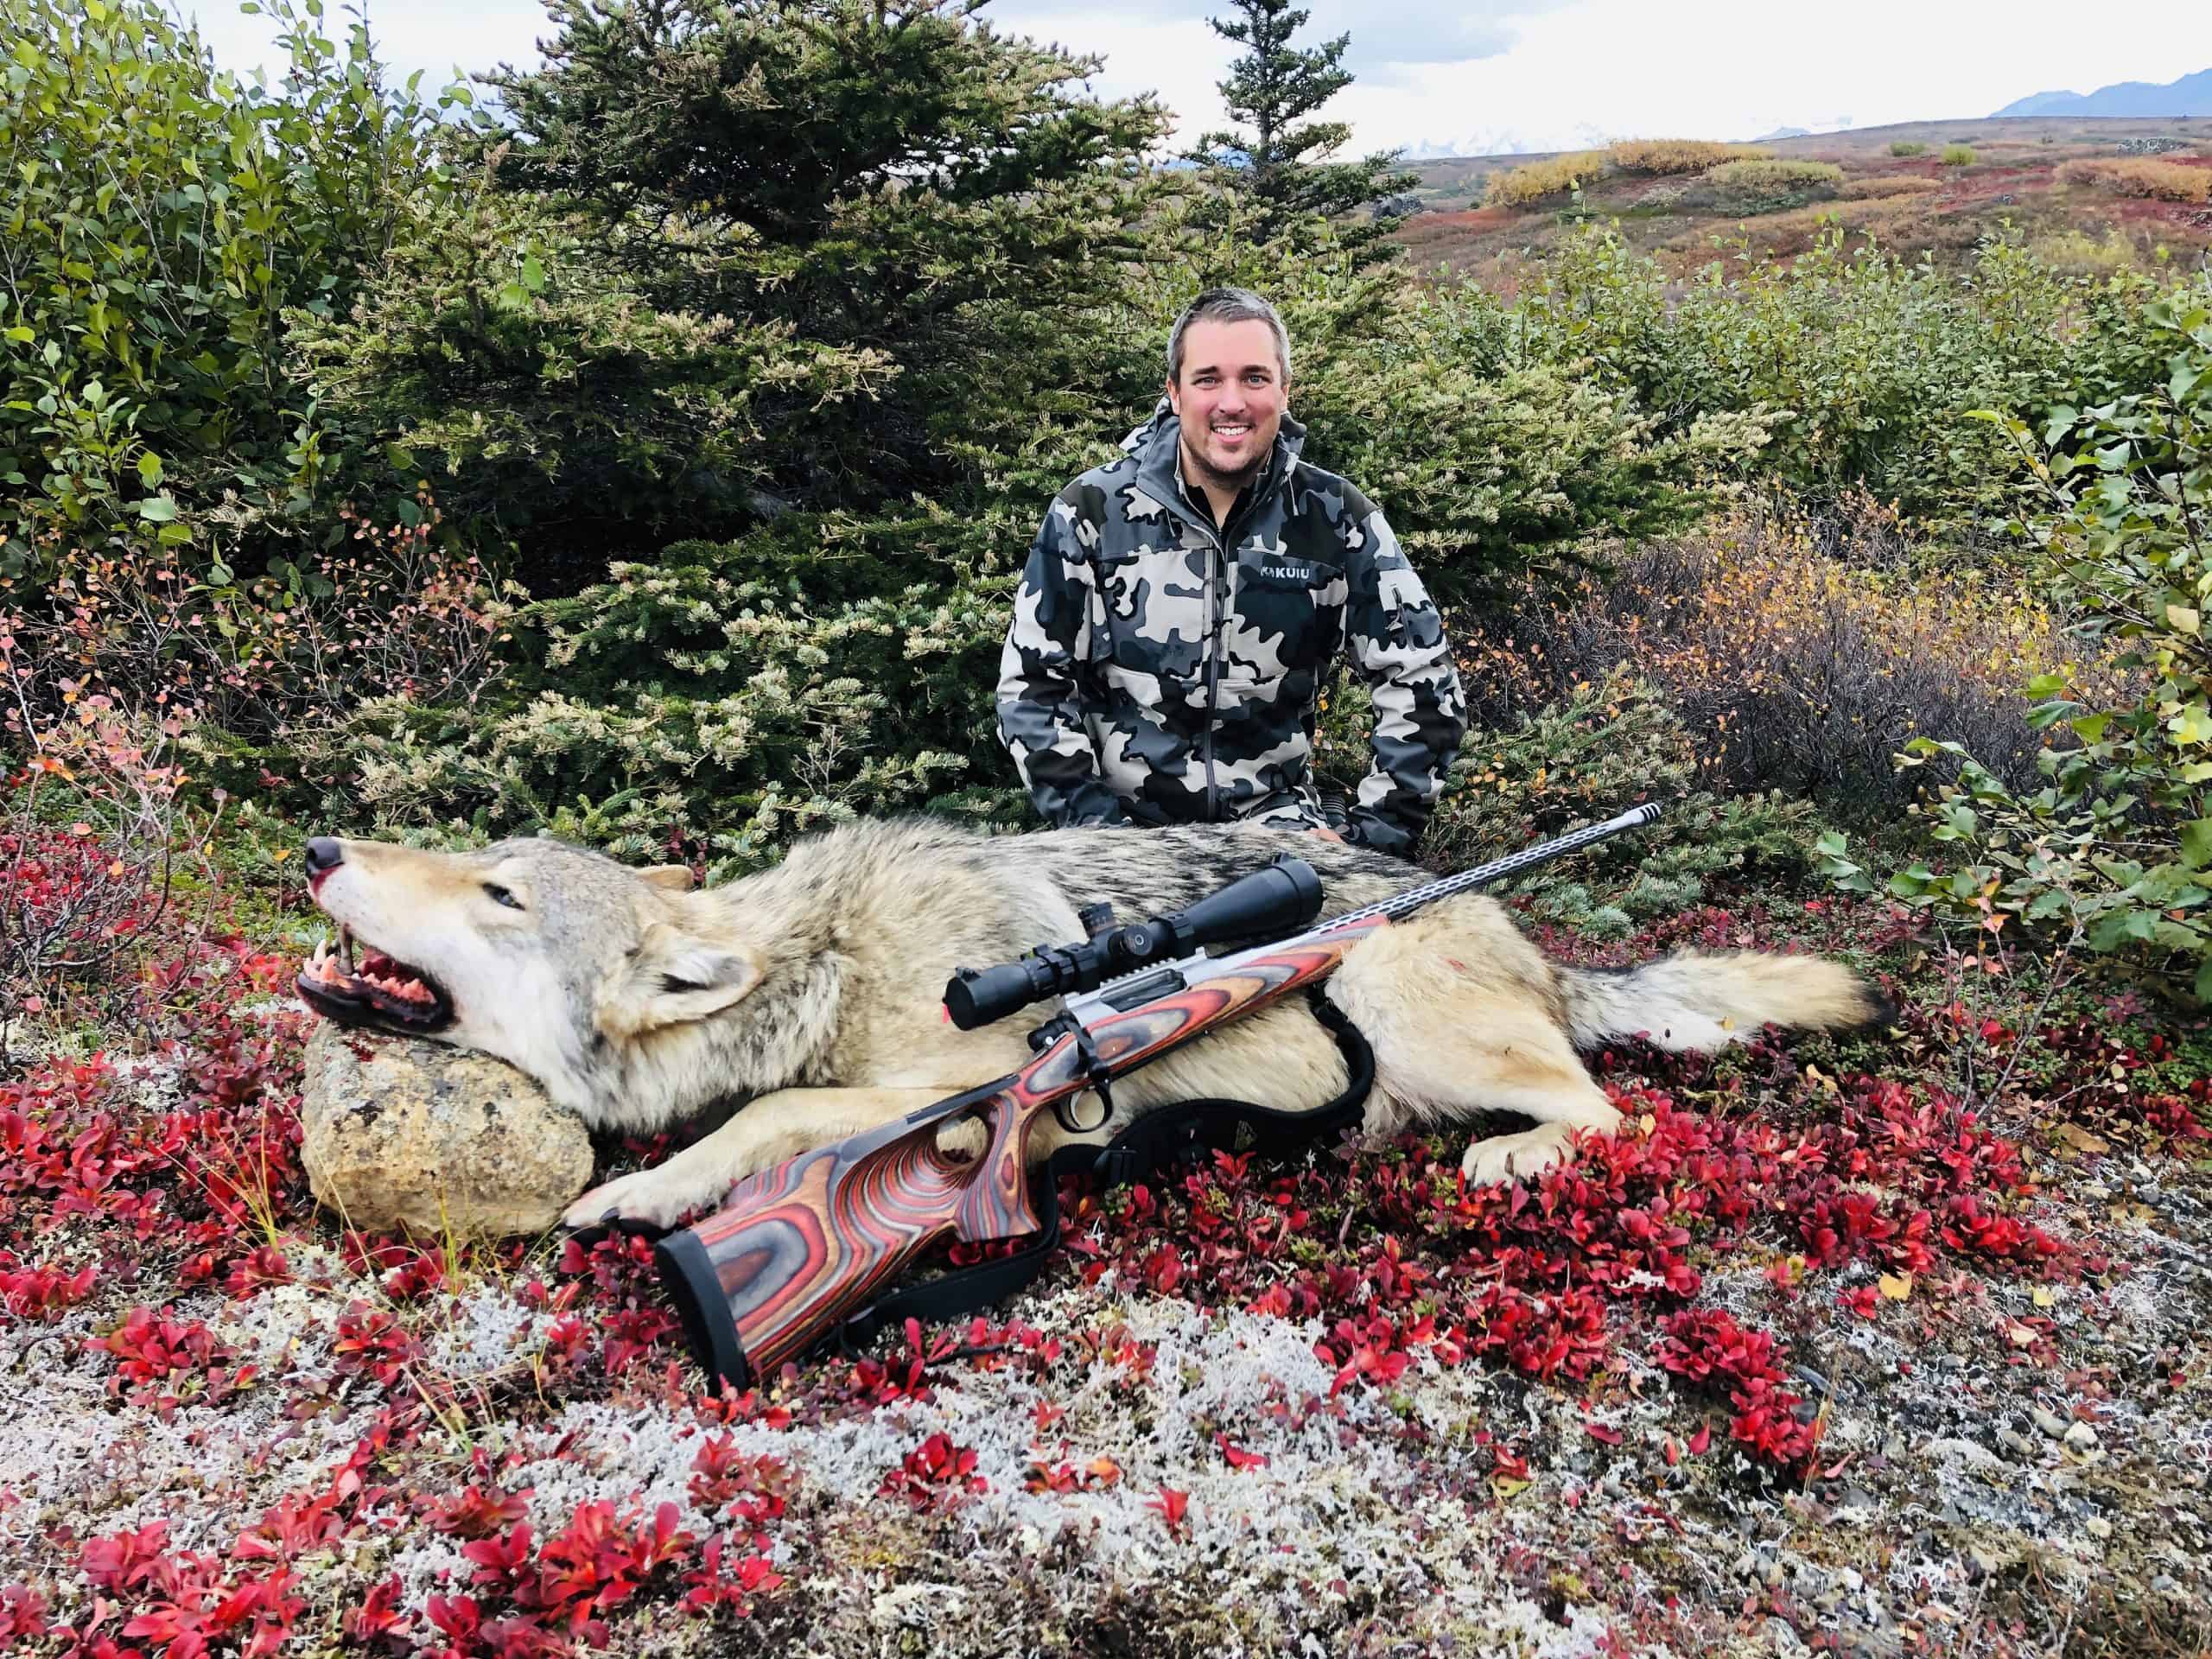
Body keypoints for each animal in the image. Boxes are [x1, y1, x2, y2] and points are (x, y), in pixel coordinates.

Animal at [289, 823, 1885, 1238]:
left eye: (498, 888)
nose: (318, 844)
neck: (831, 961)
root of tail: (1535, 943)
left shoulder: (959, 1083)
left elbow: (765, 1120)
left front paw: (635, 1194)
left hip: (1393, 1000)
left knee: (1611, 1112)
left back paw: (1507, 1161)